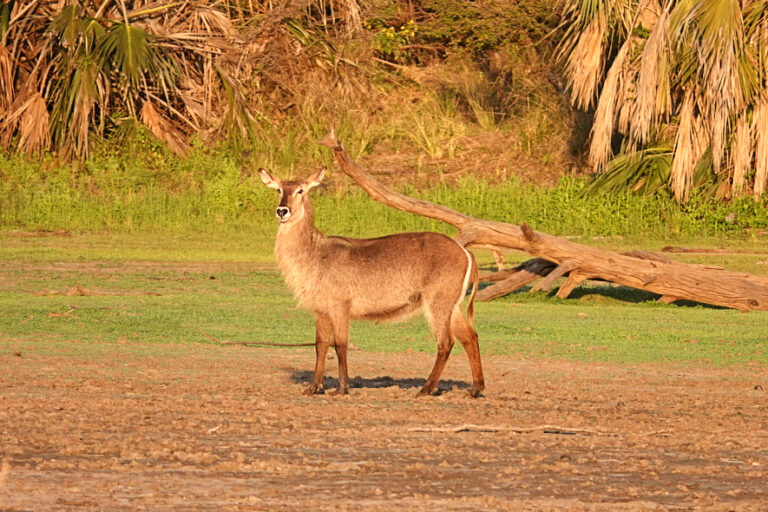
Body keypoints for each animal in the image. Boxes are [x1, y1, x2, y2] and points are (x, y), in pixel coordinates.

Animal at [260, 166, 484, 398]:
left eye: (300, 190)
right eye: (279, 189)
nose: (282, 211)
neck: (315, 251)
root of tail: (465, 252)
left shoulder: (339, 306)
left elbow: (340, 344)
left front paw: (342, 388)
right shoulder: (321, 309)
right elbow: (320, 345)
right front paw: (314, 387)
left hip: (437, 302)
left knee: (446, 341)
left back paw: (426, 389)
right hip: (453, 305)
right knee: (470, 337)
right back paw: (475, 389)